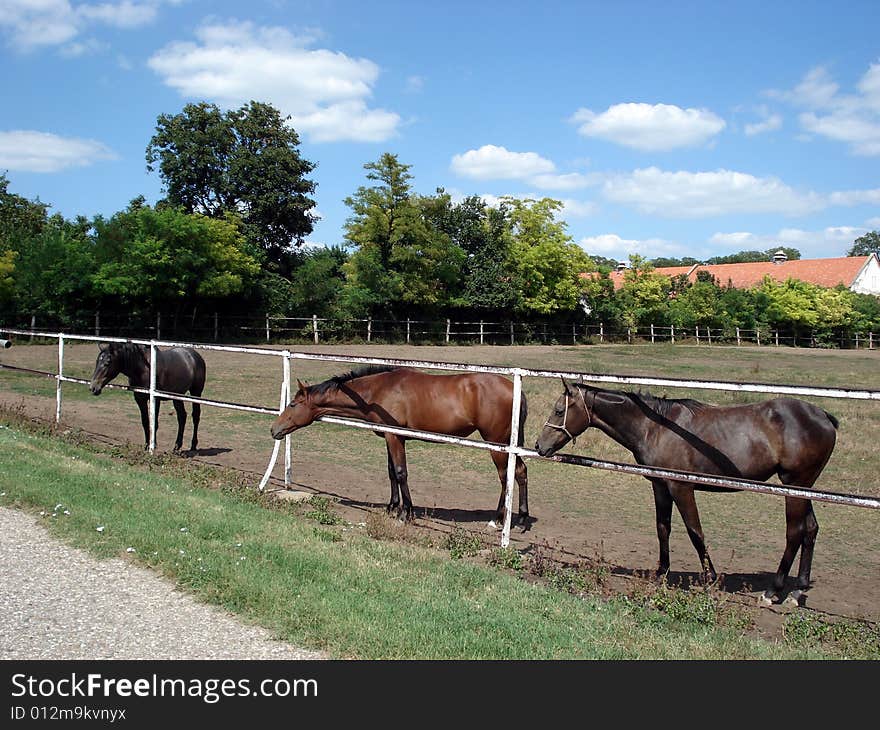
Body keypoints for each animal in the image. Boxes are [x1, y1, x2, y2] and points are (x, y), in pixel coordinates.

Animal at [268, 364, 528, 528]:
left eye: (292, 404)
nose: (274, 429)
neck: (376, 392)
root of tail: (514, 390)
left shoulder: (395, 438)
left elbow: (401, 473)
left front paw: (405, 514)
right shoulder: (389, 437)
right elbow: (392, 472)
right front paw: (392, 507)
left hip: (497, 444)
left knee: (506, 477)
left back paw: (497, 520)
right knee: (520, 472)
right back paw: (521, 519)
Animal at [532, 378, 844, 600]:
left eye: (559, 410)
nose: (539, 446)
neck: (655, 427)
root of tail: (822, 415)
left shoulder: (681, 488)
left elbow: (695, 533)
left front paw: (711, 579)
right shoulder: (660, 485)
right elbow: (663, 528)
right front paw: (661, 572)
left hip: (794, 485)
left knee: (795, 533)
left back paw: (774, 590)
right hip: (804, 486)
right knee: (810, 529)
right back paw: (798, 589)